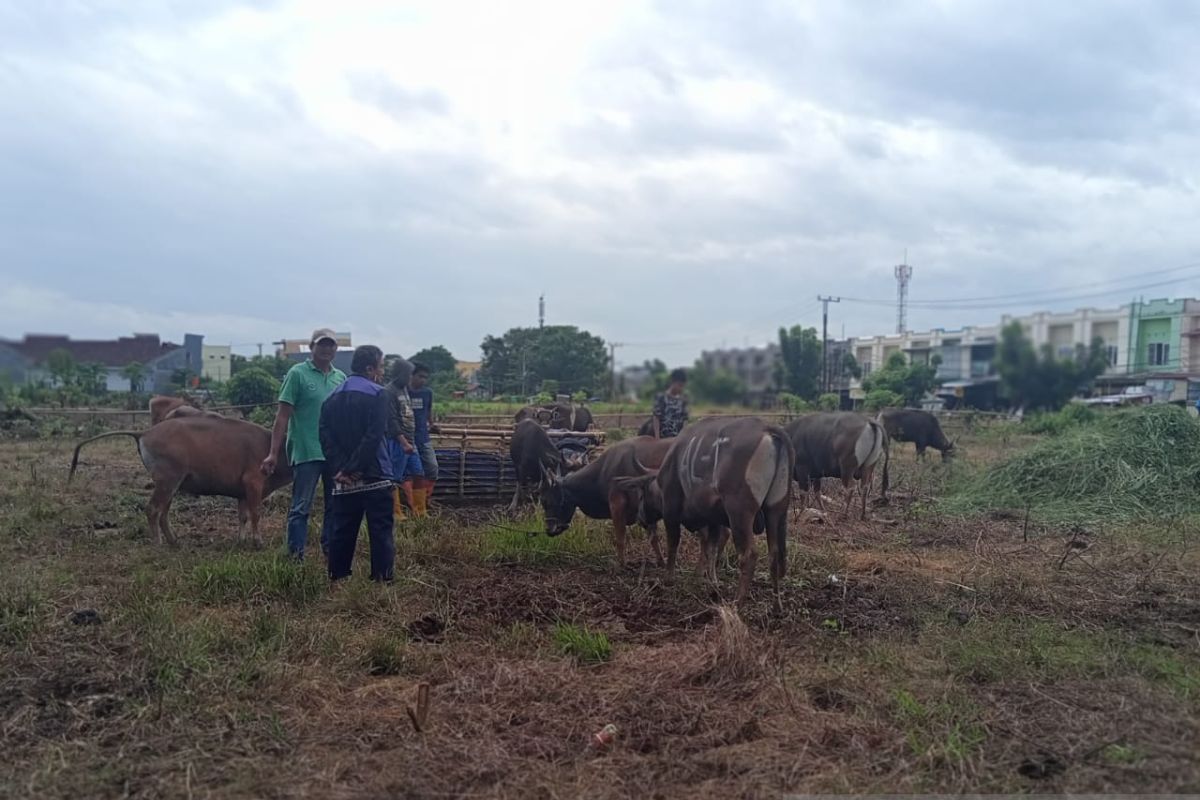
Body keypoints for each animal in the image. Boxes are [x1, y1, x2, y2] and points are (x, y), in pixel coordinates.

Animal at [71, 412, 294, 544]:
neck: (272, 447)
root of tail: (145, 432)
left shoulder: (242, 493)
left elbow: (243, 517)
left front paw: (241, 540)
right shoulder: (253, 484)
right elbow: (256, 514)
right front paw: (258, 542)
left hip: (172, 484)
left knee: (163, 513)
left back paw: (173, 540)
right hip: (167, 481)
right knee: (153, 509)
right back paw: (158, 543)